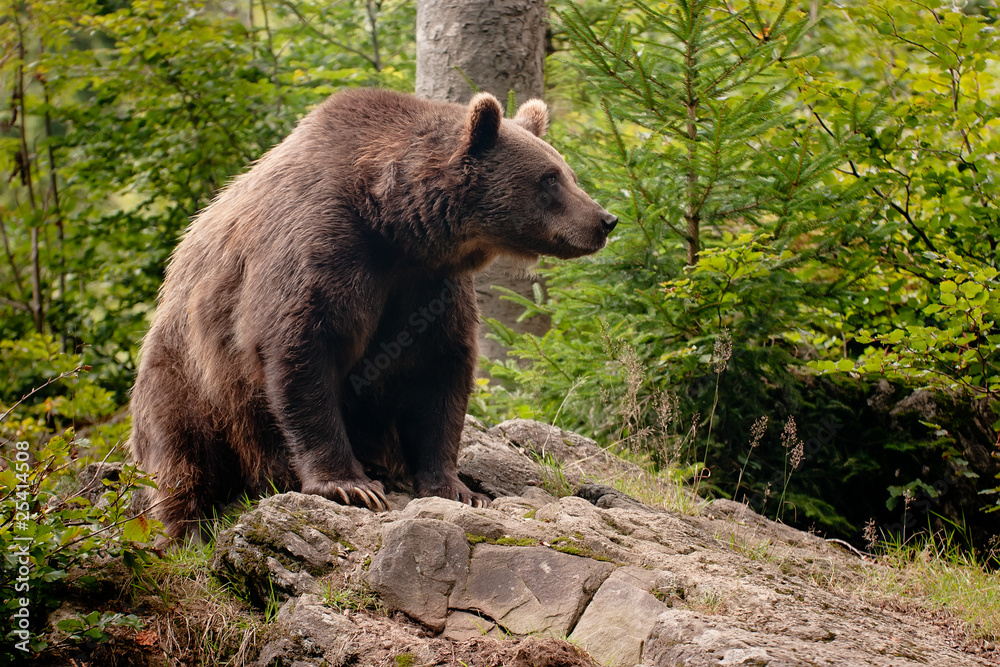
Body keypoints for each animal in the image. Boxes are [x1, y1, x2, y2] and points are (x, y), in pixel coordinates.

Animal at [131, 87, 616, 544]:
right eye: (549, 178)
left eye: (568, 173)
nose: (605, 219)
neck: (394, 226)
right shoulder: (322, 250)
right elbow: (302, 352)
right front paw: (350, 486)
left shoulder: (429, 289)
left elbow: (439, 374)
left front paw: (458, 488)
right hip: (188, 378)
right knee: (181, 455)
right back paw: (187, 528)